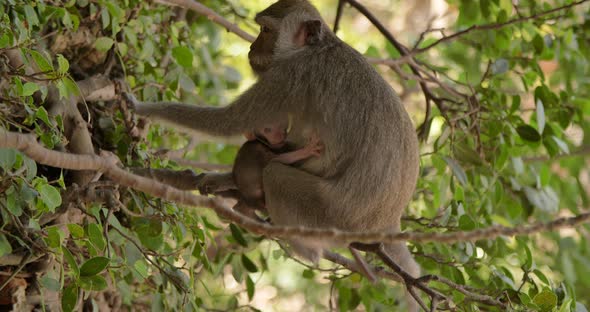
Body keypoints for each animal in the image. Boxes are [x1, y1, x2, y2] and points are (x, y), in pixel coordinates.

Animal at [132, 1, 424, 310]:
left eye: (265, 30)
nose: (252, 47)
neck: (316, 47)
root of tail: (388, 221)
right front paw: (225, 178)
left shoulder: (289, 75)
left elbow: (229, 122)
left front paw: (143, 108)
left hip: (331, 214)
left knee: (276, 175)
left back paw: (306, 250)